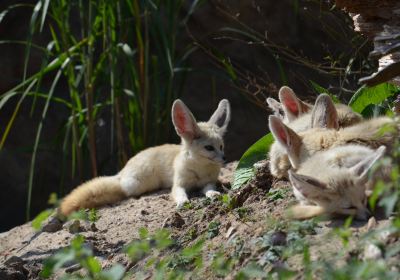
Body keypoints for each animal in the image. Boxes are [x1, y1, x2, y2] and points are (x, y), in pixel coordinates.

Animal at [57, 99, 230, 215]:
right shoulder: (178, 184)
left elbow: (210, 188)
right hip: (137, 184)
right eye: (209, 148)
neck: (200, 169)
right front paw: (183, 201)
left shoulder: (208, 181)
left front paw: (213, 194)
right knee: (122, 189)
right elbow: (179, 193)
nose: (224, 159)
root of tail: (122, 171)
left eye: (222, 146)